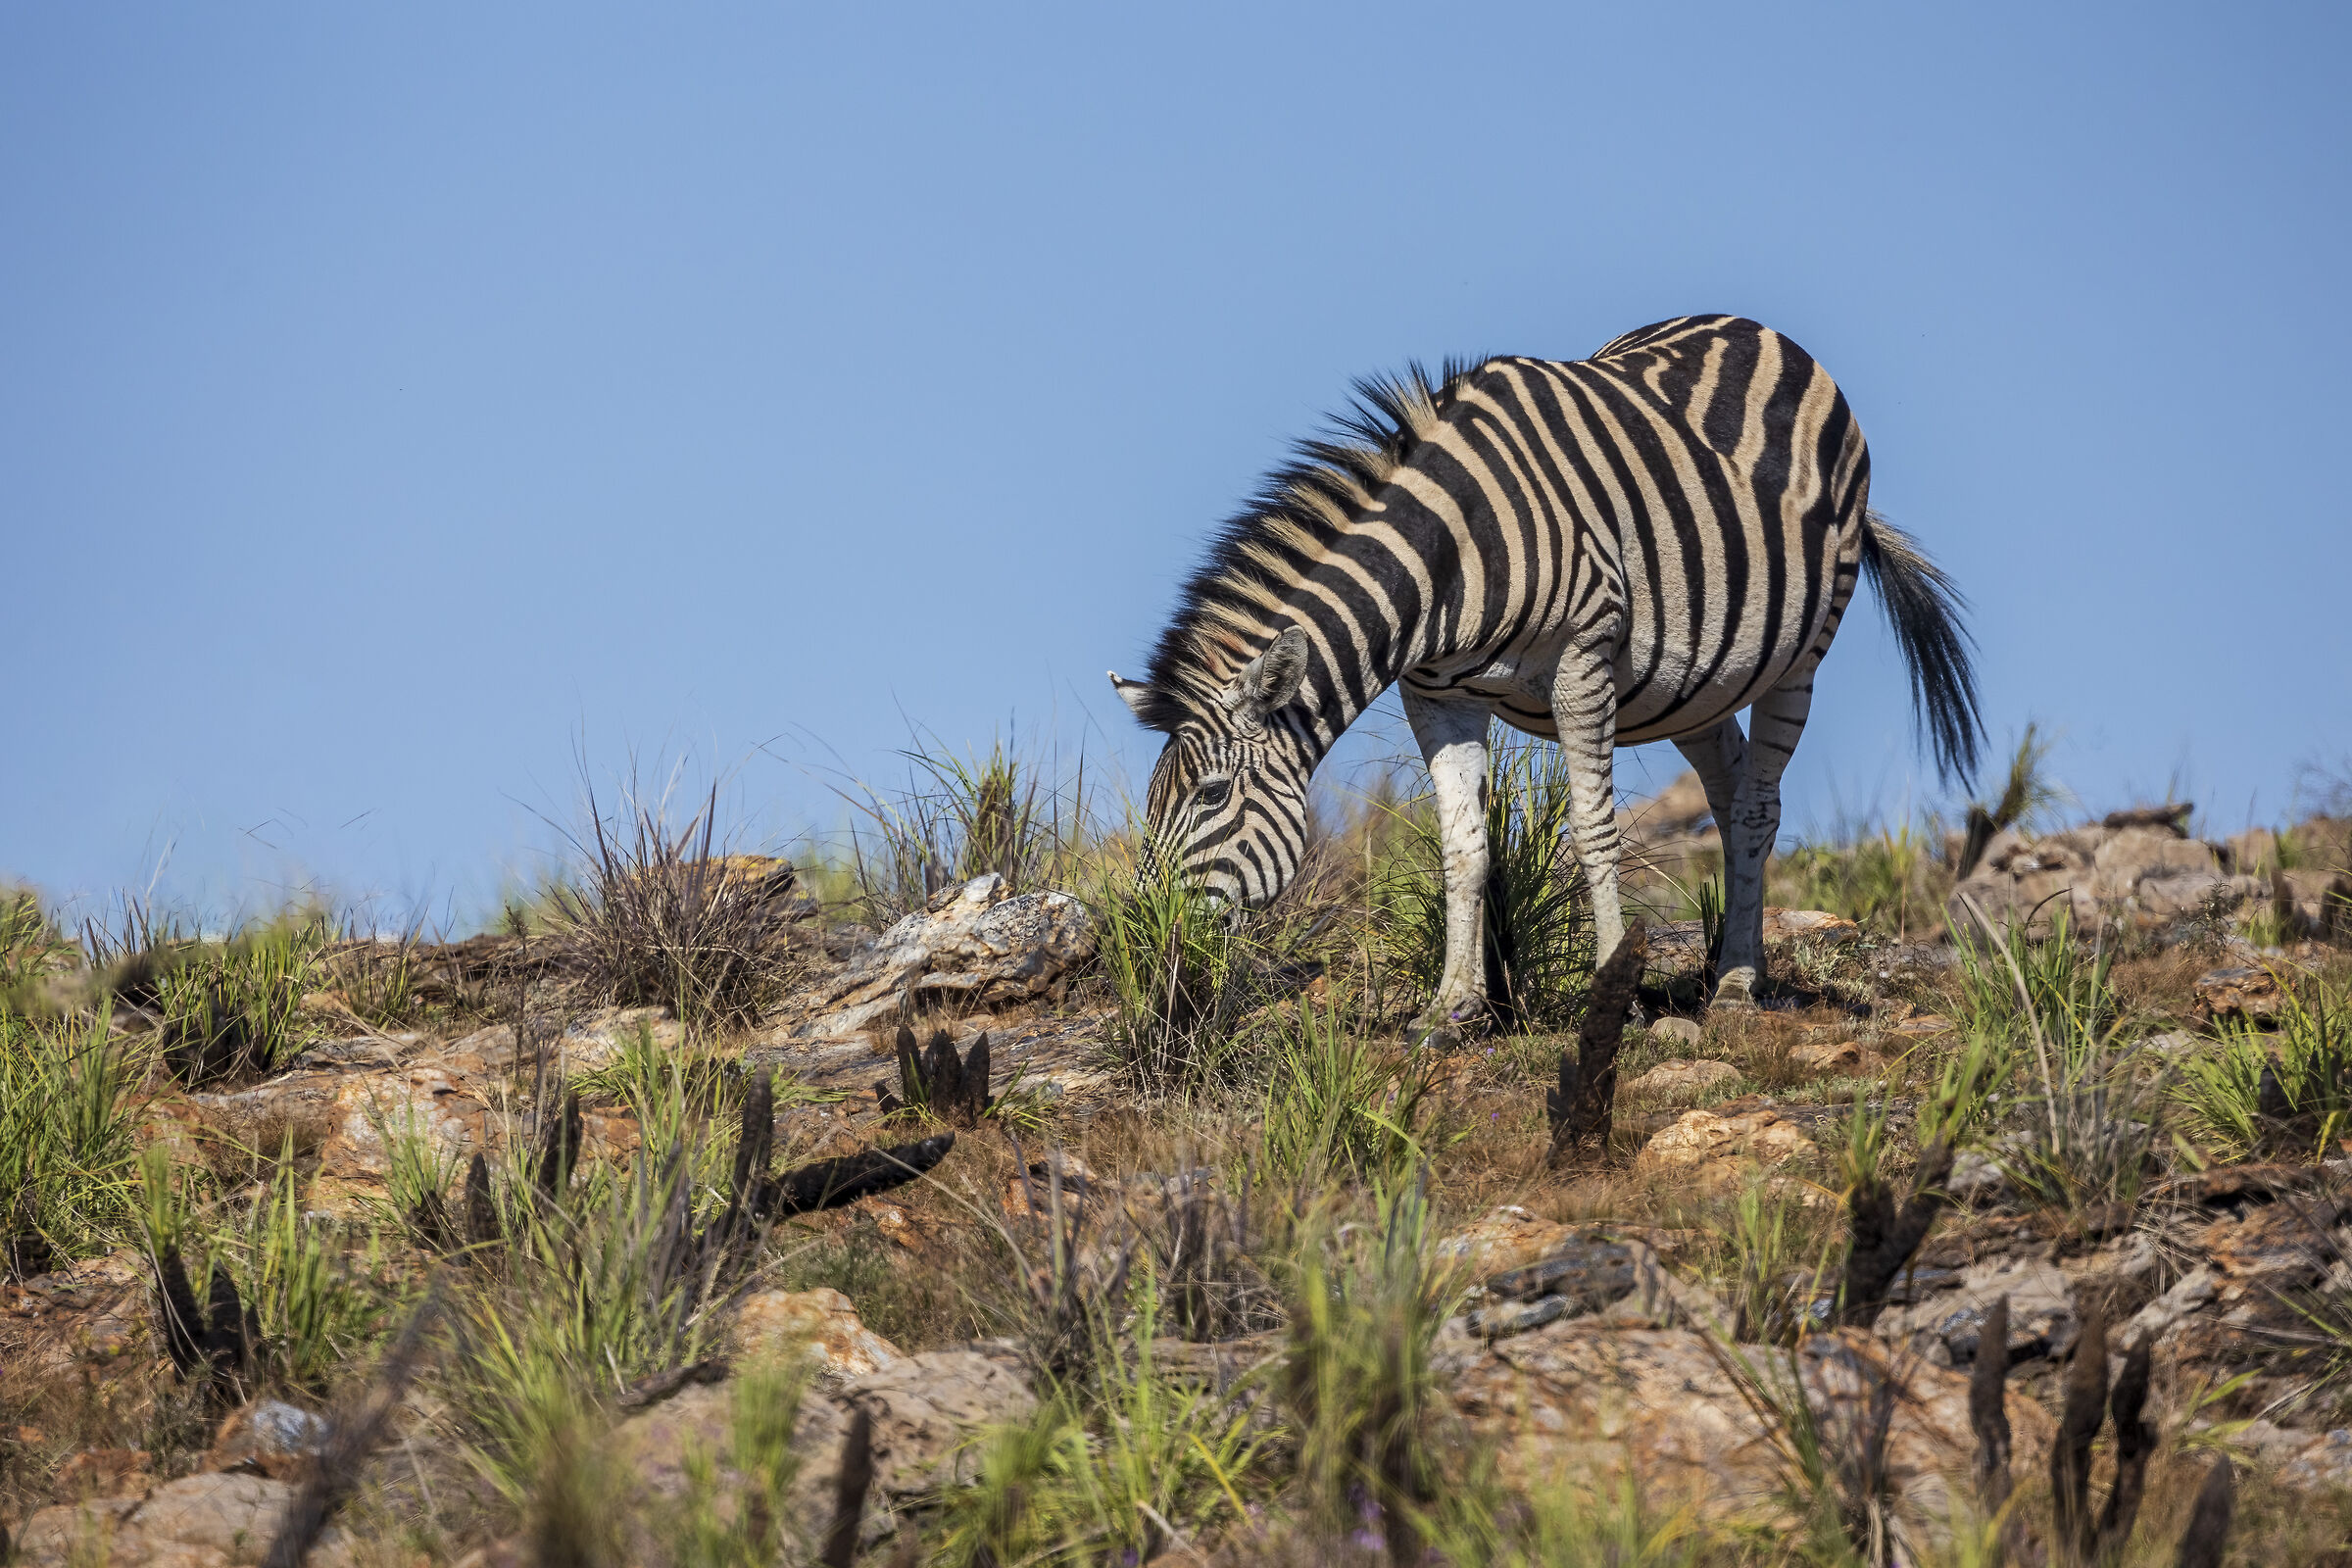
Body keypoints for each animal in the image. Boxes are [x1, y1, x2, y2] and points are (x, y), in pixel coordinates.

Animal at [1109, 315, 1980, 1034]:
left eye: (1211, 795)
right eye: (1151, 802)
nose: (1144, 940)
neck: (1451, 556)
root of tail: (1763, 331)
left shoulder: (1582, 661)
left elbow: (1594, 830)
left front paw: (1613, 993)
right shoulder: (1436, 694)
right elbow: (1461, 846)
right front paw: (1451, 1007)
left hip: (1799, 653)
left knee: (1759, 803)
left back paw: (1736, 987)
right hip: (1694, 684)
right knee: (1731, 793)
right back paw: (1733, 966)